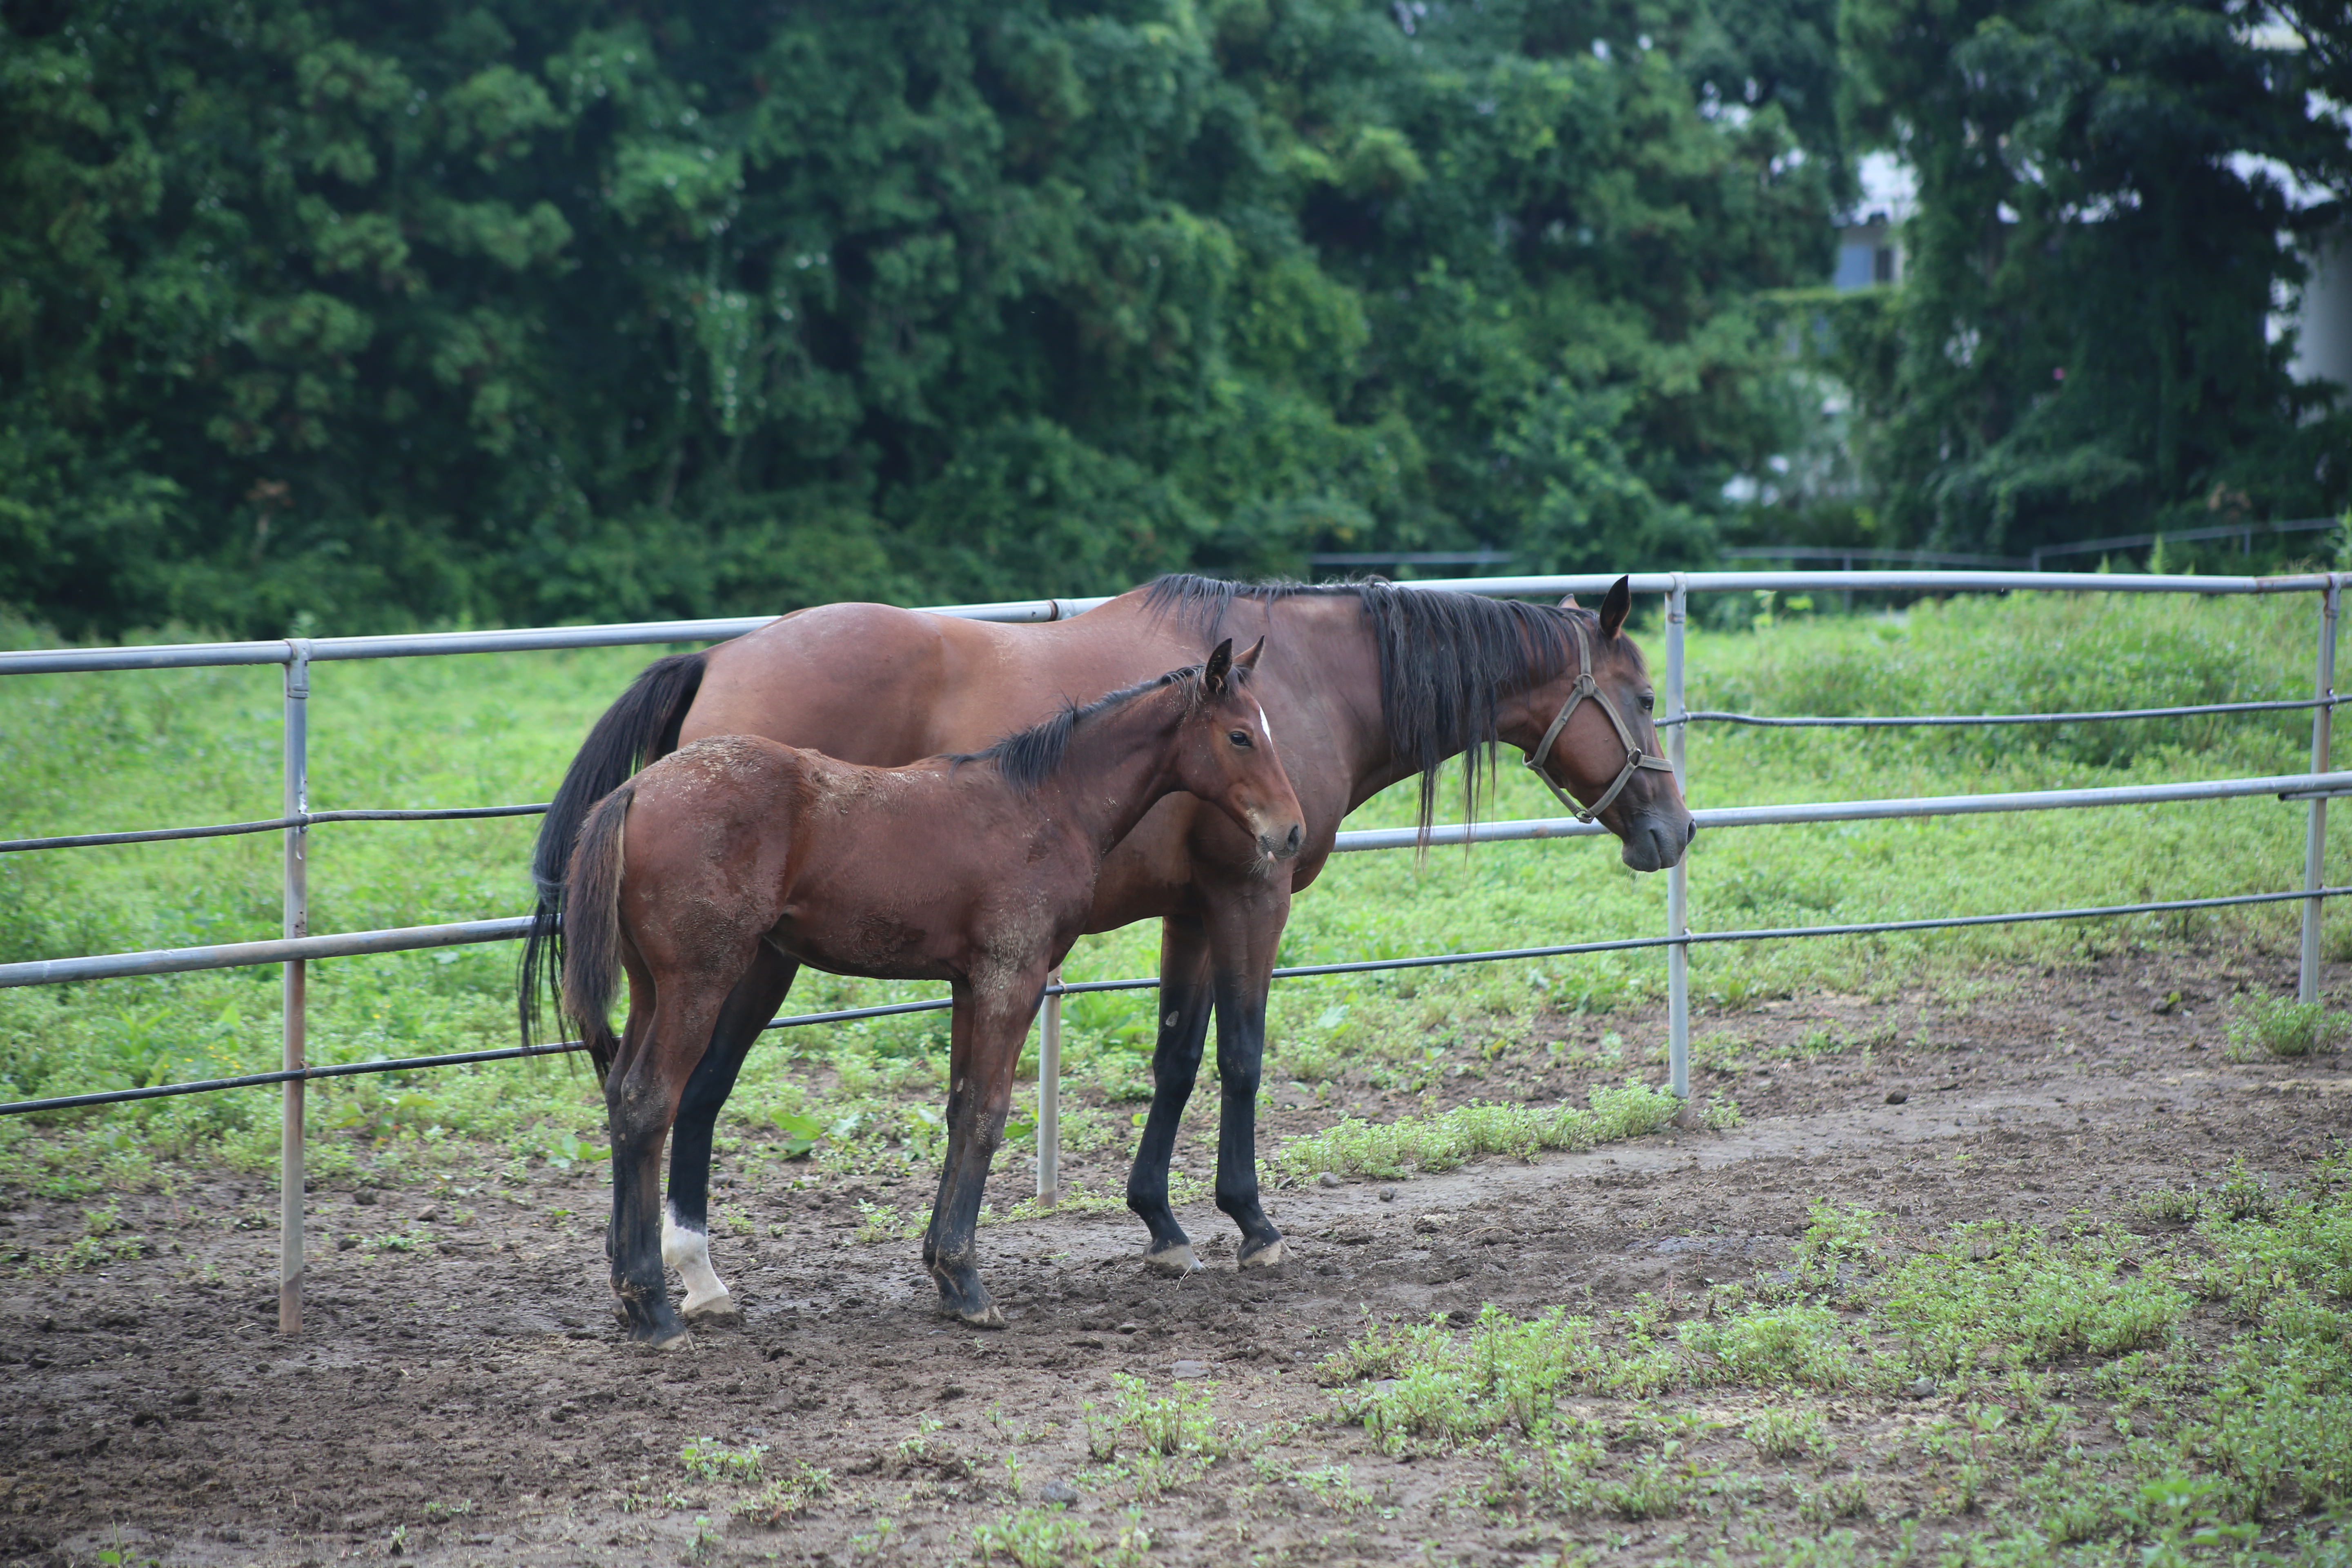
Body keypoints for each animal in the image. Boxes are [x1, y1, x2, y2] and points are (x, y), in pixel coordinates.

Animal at [562, 644, 1317, 1345]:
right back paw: (655, 1307)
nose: (1291, 832)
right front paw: (968, 1283)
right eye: (1240, 736)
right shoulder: (1012, 977)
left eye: (1268, 730)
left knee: (623, 1094)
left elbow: (959, 1110)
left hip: (651, 987)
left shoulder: (967, 983)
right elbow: (987, 1115)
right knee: (651, 1101)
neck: (1045, 804)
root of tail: (634, 793)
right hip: (701, 981)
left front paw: (944, 1274)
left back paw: (637, 1289)